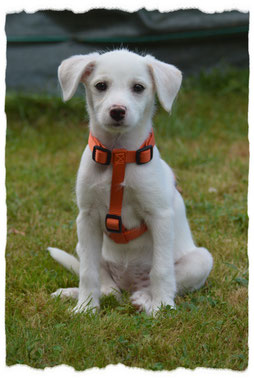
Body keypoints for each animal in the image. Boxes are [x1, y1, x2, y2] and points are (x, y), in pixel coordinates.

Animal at [47, 48, 212, 314]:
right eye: (101, 86)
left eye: (138, 87)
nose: (117, 111)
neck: (119, 156)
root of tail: (128, 285)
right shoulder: (87, 217)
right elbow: (88, 272)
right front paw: (85, 307)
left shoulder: (160, 216)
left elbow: (162, 270)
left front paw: (162, 307)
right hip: (82, 245)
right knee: (105, 285)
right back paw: (77, 293)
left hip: (201, 259)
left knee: (164, 281)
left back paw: (146, 299)